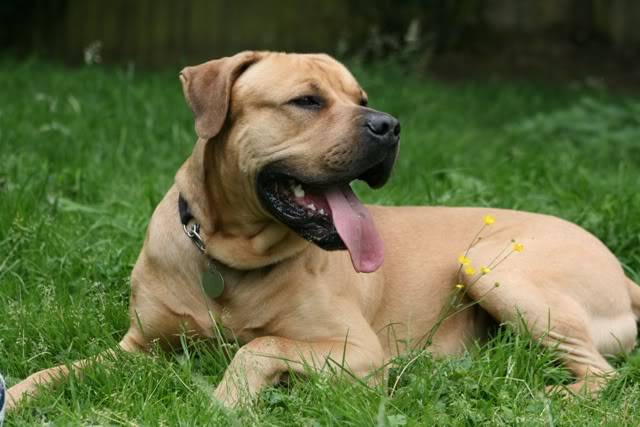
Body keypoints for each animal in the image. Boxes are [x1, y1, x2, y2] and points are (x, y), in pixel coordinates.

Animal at [6, 51, 640, 410]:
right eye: (307, 101)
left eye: (362, 98)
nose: (389, 125)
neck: (227, 258)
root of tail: (623, 274)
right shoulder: (138, 347)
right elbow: (59, 369)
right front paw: (17, 394)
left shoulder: (354, 349)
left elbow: (261, 344)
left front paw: (225, 400)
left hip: (494, 268)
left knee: (603, 375)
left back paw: (547, 394)